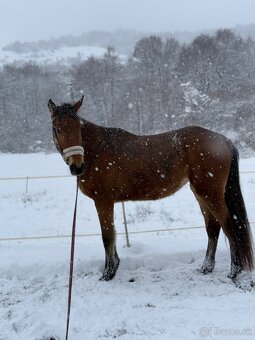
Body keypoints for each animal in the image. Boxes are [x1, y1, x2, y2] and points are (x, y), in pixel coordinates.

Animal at [47, 97, 253, 282]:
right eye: (58, 128)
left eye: (78, 128)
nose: (77, 166)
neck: (97, 150)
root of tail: (223, 140)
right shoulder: (107, 202)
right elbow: (111, 235)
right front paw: (114, 267)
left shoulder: (103, 201)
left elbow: (107, 236)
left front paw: (108, 273)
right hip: (201, 194)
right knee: (213, 228)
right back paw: (206, 268)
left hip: (211, 194)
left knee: (229, 226)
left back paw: (234, 272)